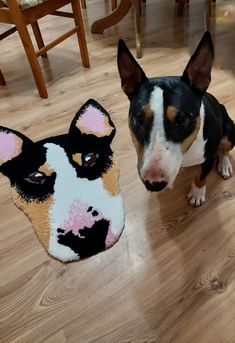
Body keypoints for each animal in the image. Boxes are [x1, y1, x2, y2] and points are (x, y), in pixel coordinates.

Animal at [117, 31, 235, 207]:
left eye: (180, 119)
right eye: (139, 119)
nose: (153, 183)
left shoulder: (209, 156)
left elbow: (201, 176)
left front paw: (197, 194)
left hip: (229, 131)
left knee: (224, 149)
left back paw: (224, 164)